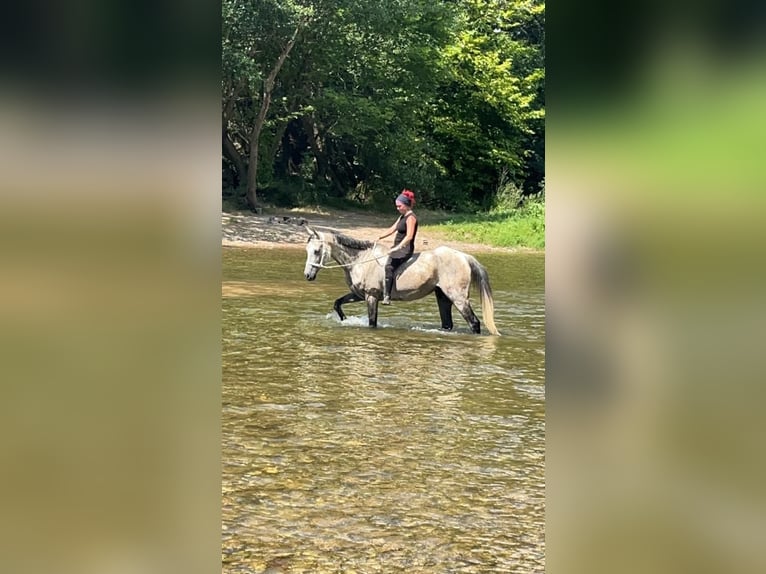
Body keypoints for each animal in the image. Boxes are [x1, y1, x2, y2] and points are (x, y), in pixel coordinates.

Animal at [304, 226, 500, 338]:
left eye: (316, 251)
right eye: (307, 250)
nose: (307, 275)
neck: (361, 260)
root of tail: (464, 256)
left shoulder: (371, 296)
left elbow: (372, 322)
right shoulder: (359, 294)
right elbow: (337, 303)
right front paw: (344, 320)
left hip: (458, 297)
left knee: (474, 323)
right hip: (443, 297)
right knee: (447, 324)